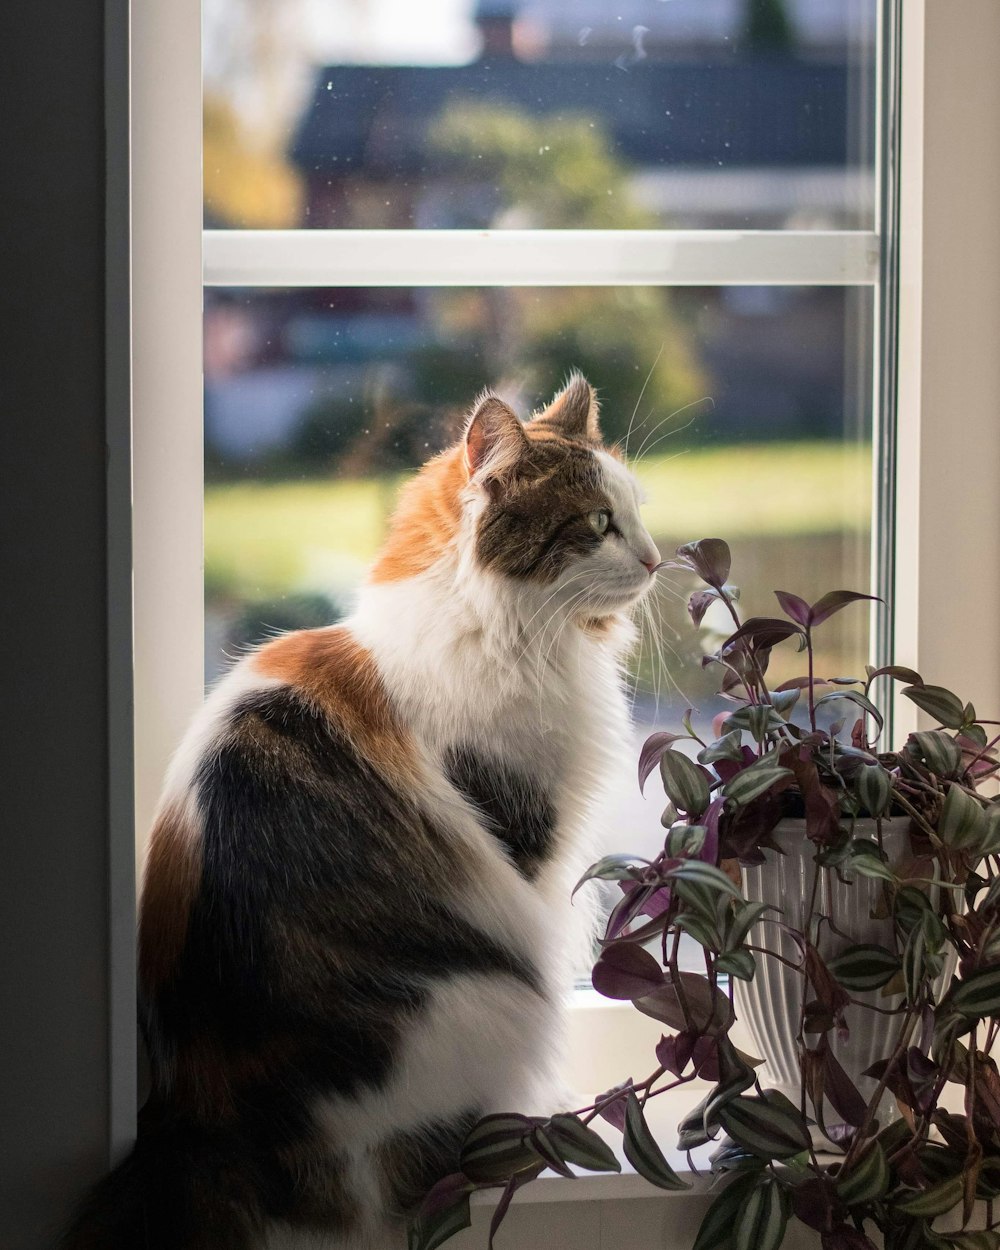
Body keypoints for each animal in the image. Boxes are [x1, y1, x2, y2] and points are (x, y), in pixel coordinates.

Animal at [60, 375, 655, 1245]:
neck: (489, 622)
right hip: (491, 1003)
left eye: (637, 512)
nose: (655, 557)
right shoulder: (531, 846)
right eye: (599, 524)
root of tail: (203, 1122)